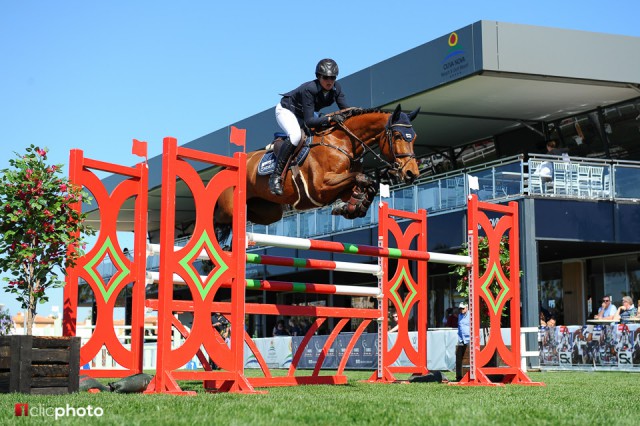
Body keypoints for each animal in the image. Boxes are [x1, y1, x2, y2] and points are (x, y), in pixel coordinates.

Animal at [215, 105, 422, 241]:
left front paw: (352, 208)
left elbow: (367, 183)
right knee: (217, 218)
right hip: (228, 207)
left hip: (270, 212)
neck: (342, 142)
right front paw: (351, 206)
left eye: (414, 138)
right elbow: (364, 177)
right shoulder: (321, 188)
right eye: (397, 136)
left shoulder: (341, 187)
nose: (411, 173)